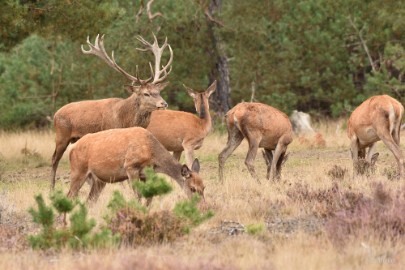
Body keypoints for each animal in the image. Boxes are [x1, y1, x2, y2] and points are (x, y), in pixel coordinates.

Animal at [50, 33, 172, 190]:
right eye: (146, 93)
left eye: (158, 91)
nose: (164, 103)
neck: (125, 119)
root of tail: (55, 114)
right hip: (61, 135)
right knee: (54, 159)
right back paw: (51, 187)